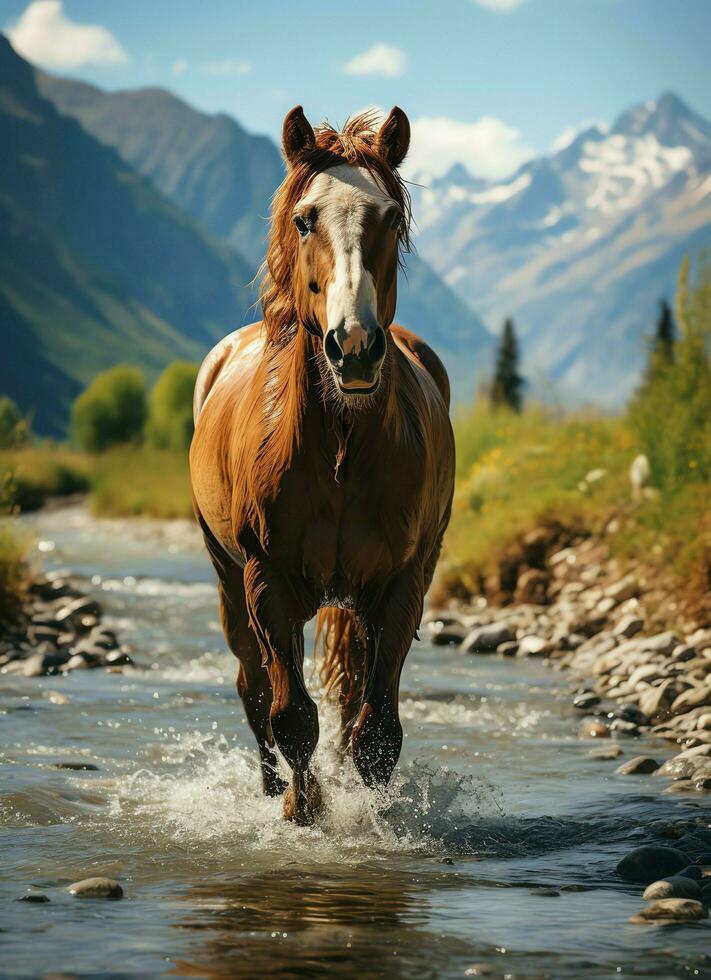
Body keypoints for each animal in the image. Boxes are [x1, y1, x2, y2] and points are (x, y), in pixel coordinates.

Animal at [189, 105, 456, 828]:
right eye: (306, 218)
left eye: (389, 216)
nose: (354, 347)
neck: (338, 446)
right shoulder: (266, 583)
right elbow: (290, 717)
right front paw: (300, 809)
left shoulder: (401, 586)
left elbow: (376, 731)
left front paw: (371, 816)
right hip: (228, 582)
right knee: (253, 689)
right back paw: (265, 790)